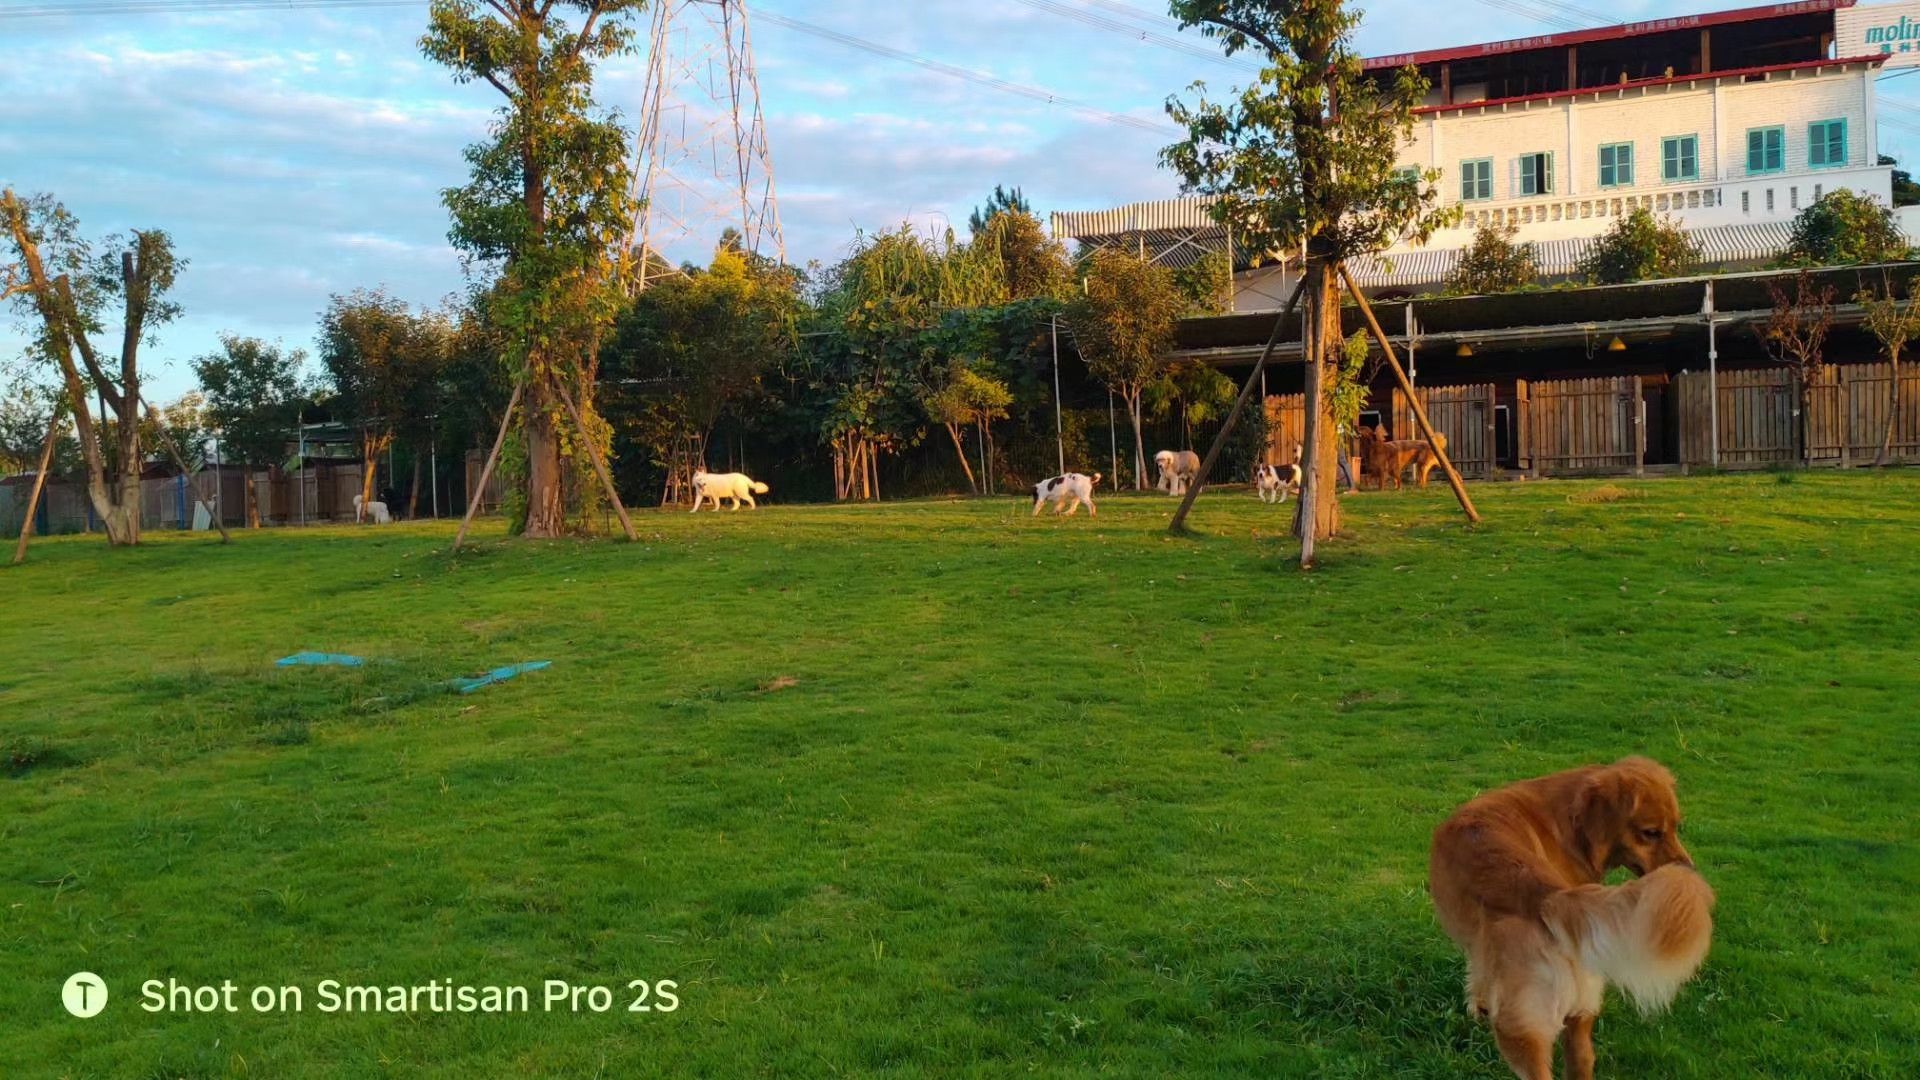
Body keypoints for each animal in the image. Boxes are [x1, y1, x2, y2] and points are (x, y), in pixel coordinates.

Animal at [1436, 757, 1720, 1076]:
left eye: (1674, 828)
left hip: (1520, 1029)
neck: (1566, 821)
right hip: (1582, 1006)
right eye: (1651, 832)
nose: (1690, 870)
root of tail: (1548, 897)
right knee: (1583, 1057)